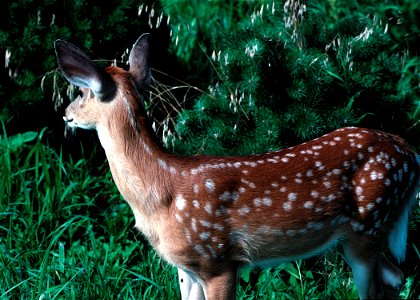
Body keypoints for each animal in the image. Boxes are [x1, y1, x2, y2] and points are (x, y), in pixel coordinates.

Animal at [56, 34, 420, 298]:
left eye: (82, 91)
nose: (66, 114)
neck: (162, 190)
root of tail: (410, 152)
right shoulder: (186, 268)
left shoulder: (218, 261)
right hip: (361, 233)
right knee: (396, 277)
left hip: (368, 223)